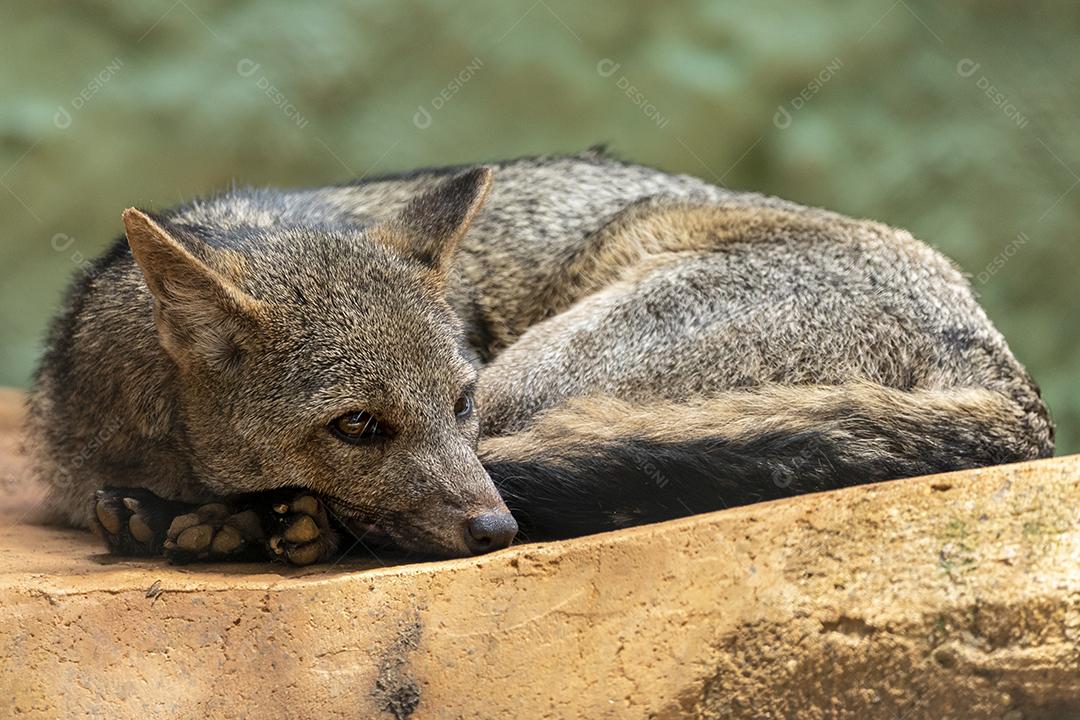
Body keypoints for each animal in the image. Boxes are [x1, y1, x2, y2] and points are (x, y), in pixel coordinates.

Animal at [27, 149, 1053, 565]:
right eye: (357, 425)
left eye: (458, 404)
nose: (494, 532)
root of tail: (1009, 371)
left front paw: (240, 520)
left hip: (544, 376)